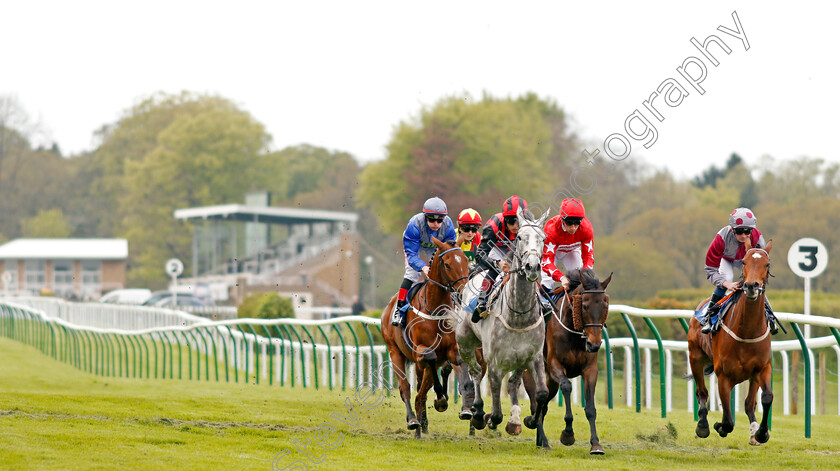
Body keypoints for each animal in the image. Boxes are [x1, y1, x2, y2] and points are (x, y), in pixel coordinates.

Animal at [380, 238, 472, 440]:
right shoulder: (421, 350)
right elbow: (430, 359)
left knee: (421, 393)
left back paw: (421, 425)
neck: (436, 310)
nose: (462, 292)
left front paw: (466, 404)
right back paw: (413, 421)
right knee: (406, 389)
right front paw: (441, 397)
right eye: (447, 264)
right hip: (394, 351)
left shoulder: (451, 349)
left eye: (464, 260)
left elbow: (459, 364)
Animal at [456, 207, 556, 450]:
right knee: (475, 372)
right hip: (464, 342)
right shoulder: (494, 362)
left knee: (512, 383)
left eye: (543, 239)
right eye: (519, 237)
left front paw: (528, 420)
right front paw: (489, 418)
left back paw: (515, 419)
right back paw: (478, 411)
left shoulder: (534, 357)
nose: (532, 267)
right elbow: (495, 404)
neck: (518, 315)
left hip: (518, 361)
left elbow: (541, 393)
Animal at [520, 268, 612, 456]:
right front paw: (568, 434)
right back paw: (542, 438)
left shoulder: (590, 369)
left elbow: (590, 408)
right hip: (532, 374)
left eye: (605, 305)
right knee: (536, 403)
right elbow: (567, 387)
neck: (574, 334)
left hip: (550, 382)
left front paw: (596, 445)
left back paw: (540, 440)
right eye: (584, 305)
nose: (594, 344)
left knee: (543, 405)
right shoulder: (555, 366)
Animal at [688, 242, 776, 444]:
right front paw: (718, 426)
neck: (747, 331)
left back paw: (754, 431)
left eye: (767, 264)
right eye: (744, 262)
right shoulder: (724, 376)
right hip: (695, 357)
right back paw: (702, 425)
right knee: (702, 392)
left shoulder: (762, 368)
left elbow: (766, 398)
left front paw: (761, 432)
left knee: (749, 403)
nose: (751, 286)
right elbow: (728, 421)